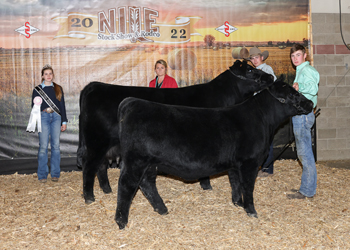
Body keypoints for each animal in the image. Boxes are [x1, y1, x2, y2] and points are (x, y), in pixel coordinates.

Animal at [78, 59, 274, 204]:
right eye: (249, 70)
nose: (270, 76)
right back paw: (89, 197)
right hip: (97, 141)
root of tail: (94, 86)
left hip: (105, 145)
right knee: (89, 166)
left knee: (101, 166)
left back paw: (107, 190)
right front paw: (206, 185)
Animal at [115, 81, 314, 229]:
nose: (310, 103)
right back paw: (121, 221)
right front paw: (251, 210)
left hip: (149, 163)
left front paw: (237, 203)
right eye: (292, 94)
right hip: (136, 161)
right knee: (127, 185)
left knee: (147, 184)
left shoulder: (235, 164)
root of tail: (131, 102)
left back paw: (161, 209)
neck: (262, 119)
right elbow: (248, 187)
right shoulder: (249, 162)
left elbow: (235, 183)